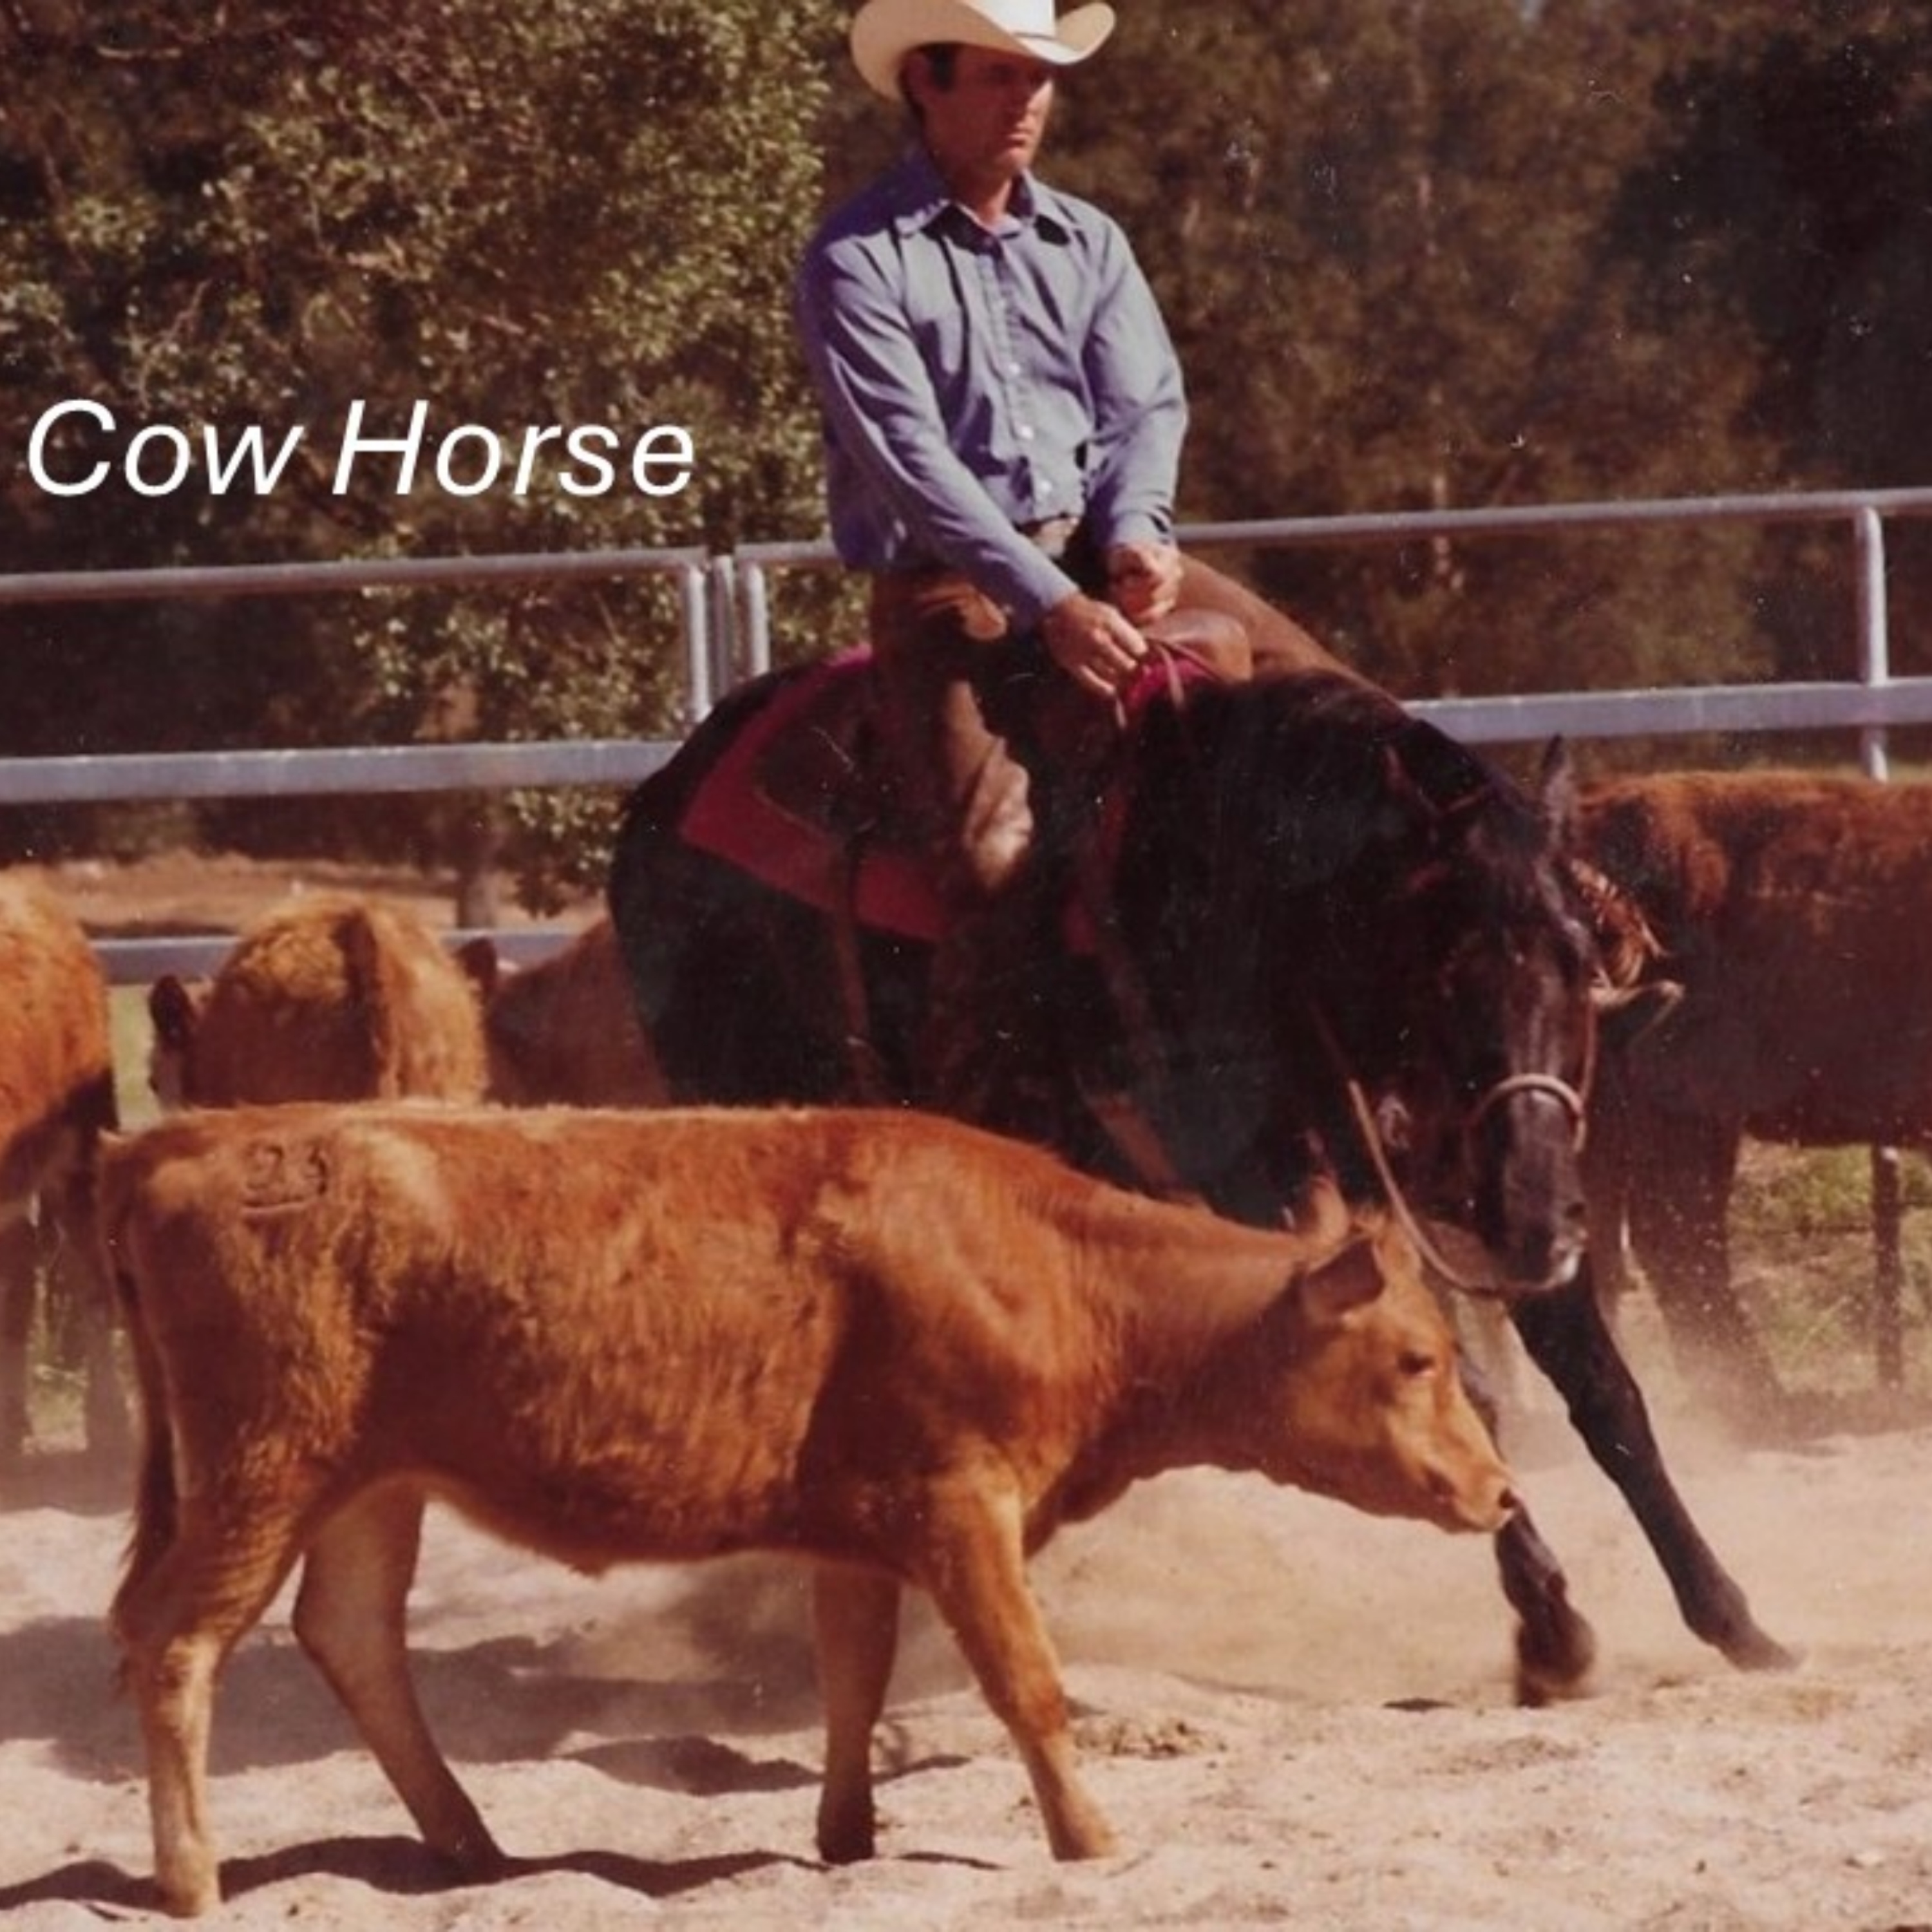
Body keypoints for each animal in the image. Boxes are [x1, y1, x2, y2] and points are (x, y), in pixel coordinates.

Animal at [100, 1101, 1515, 1917]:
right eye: (1417, 1359)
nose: (1501, 1494)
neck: (1054, 1265)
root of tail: (173, 1144)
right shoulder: (962, 1506)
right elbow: (1029, 1686)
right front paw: (1092, 1839)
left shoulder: (861, 1532)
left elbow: (855, 1683)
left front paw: (849, 1839)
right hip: (266, 1469)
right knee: (173, 1641)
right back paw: (191, 1876)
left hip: (371, 1485)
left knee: (348, 1635)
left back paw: (471, 1846)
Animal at [607, 649, 1791, 1702]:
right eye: (1448, 969)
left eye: (1579, 959)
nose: (1544, 1218)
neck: (1270, 910)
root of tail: (661, 799)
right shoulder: (1272, 1188)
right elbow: (1465, 1391)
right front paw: (1551, 1628)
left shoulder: (1477, 1191)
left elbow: (1605, 1392)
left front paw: (1733, 1616)